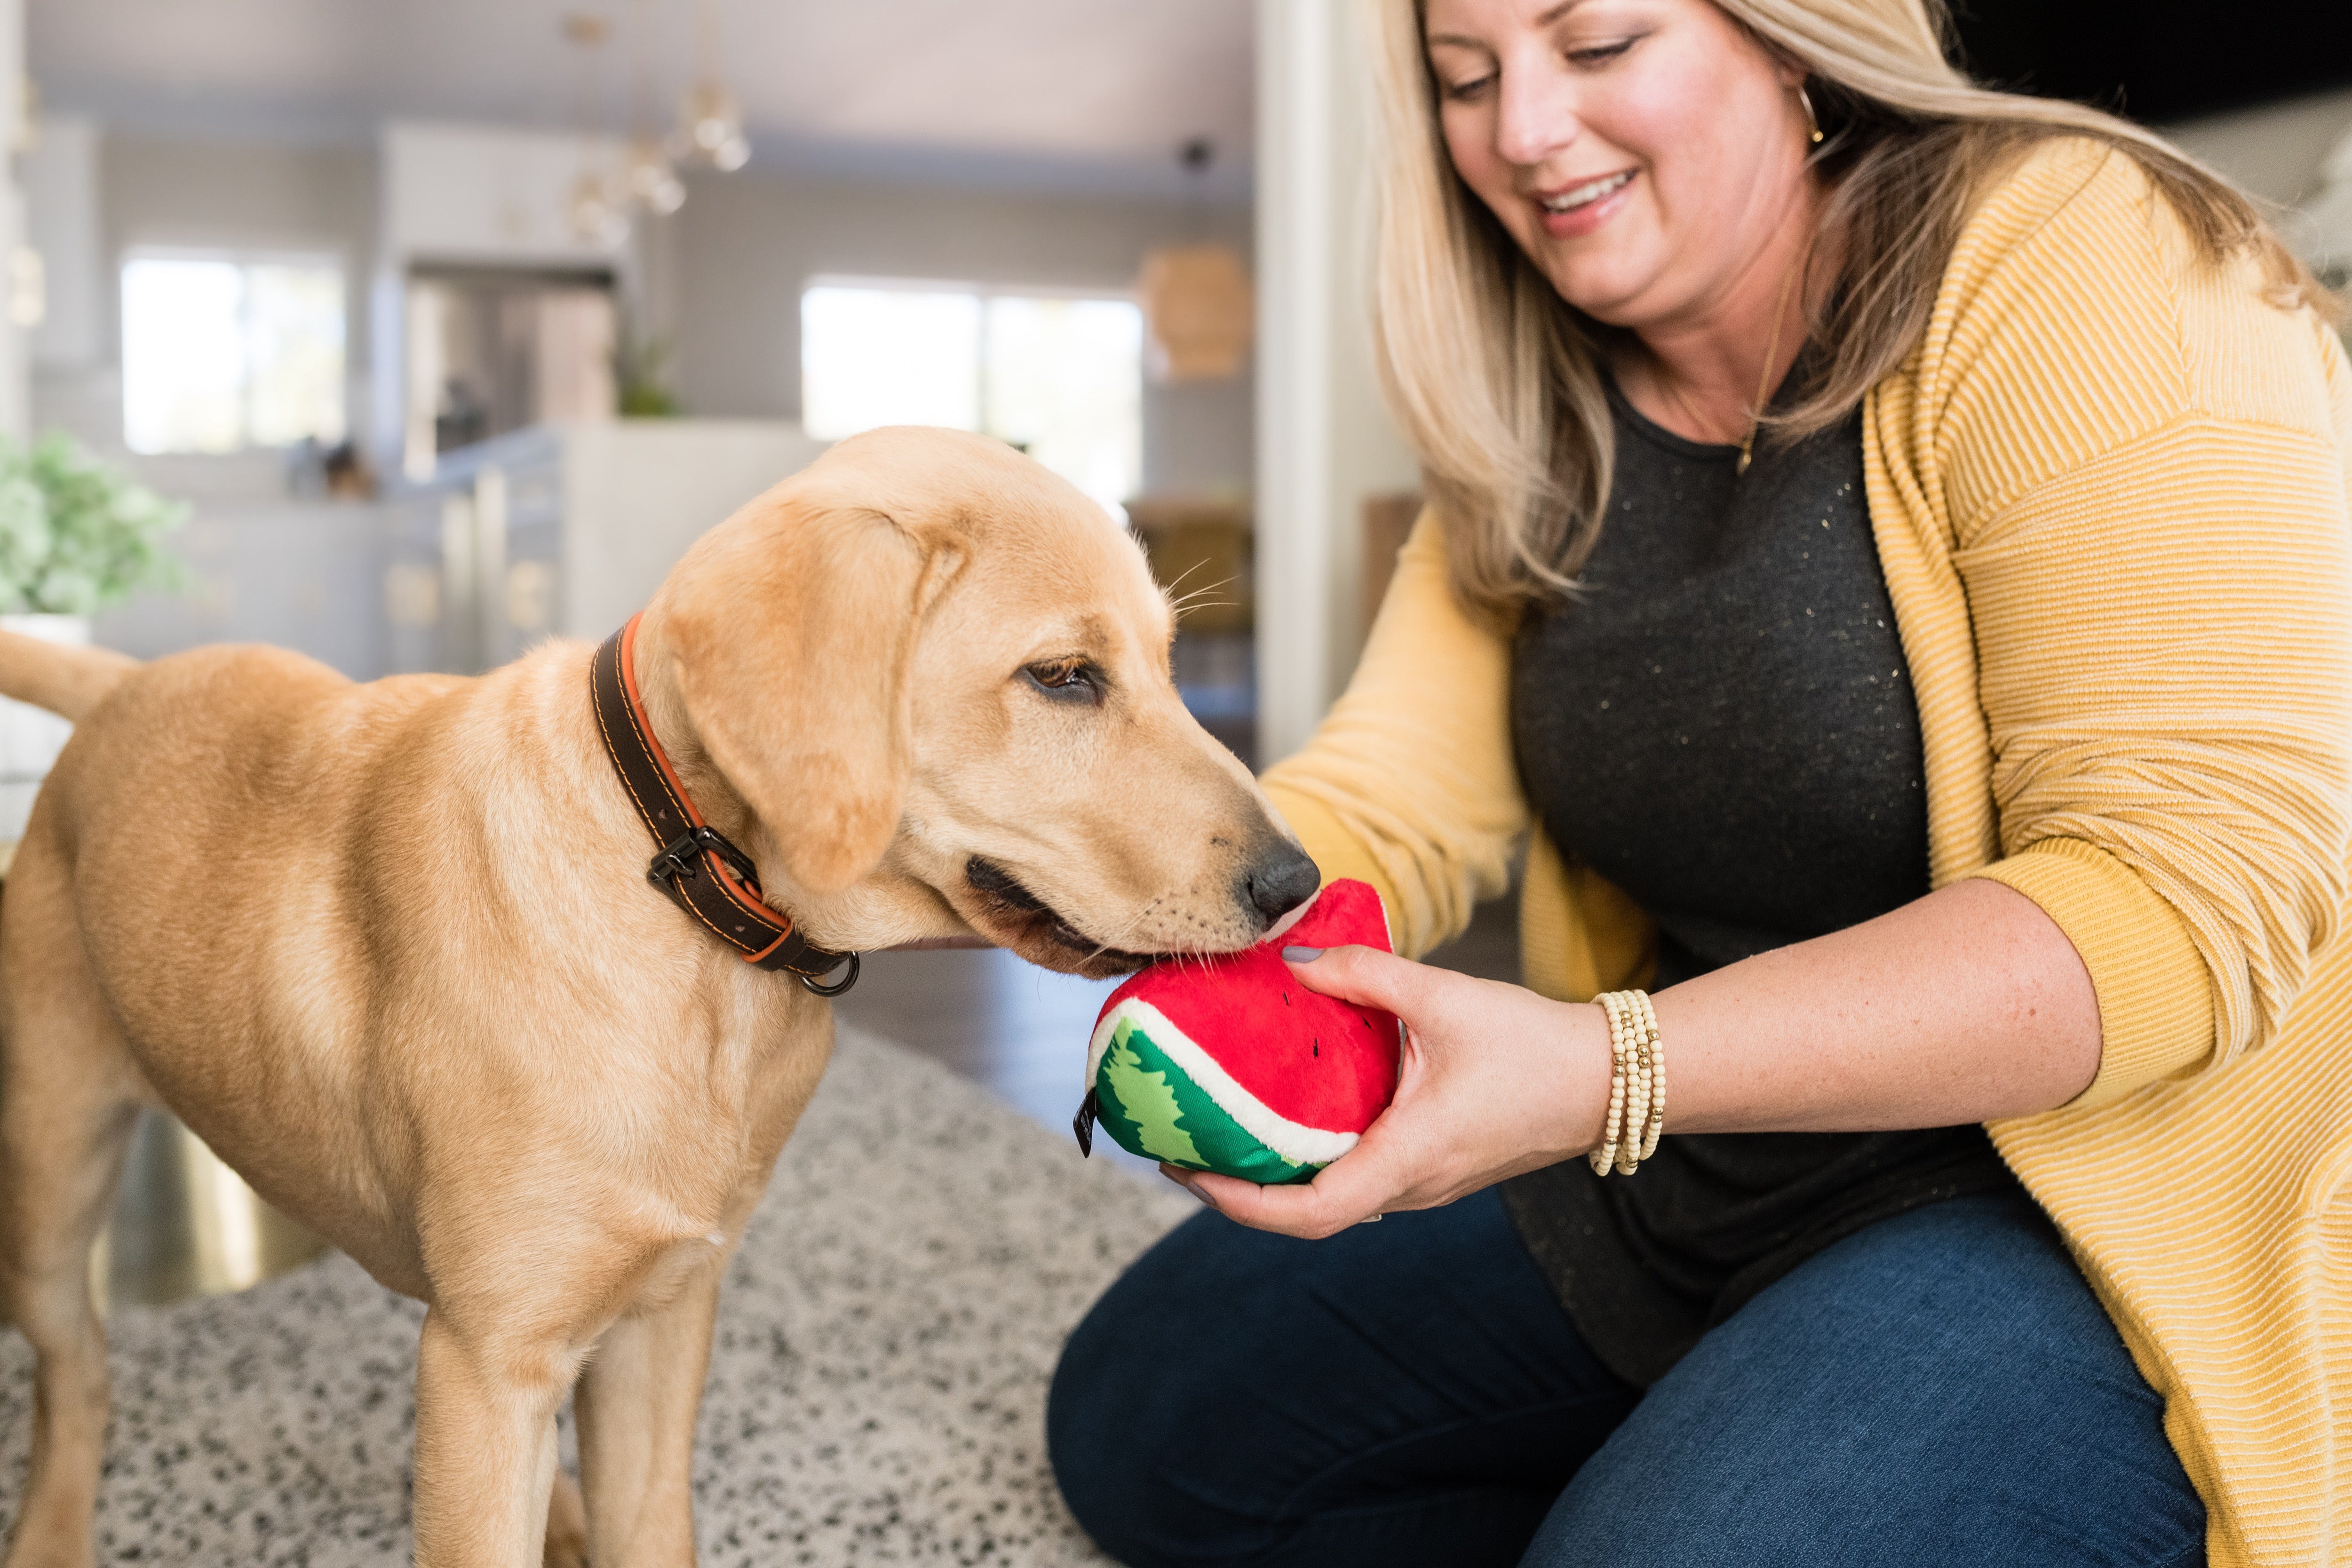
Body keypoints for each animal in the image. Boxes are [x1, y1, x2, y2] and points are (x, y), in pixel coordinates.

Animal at [0, 423, 1317, 1561]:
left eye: (1167, 665)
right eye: (1062, 677)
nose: (1297, 883)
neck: (687, 887)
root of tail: (121, 687)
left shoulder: (658, 1327)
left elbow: (650, 1525)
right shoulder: (487, 1366)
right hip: (53, 1186)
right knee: (80, 1372)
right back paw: (56, 1530)